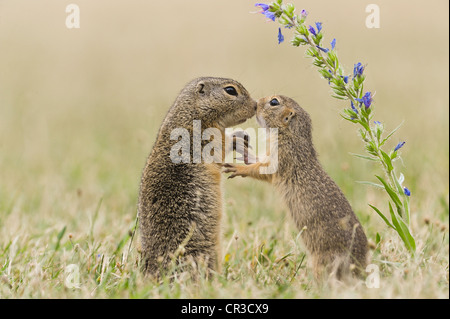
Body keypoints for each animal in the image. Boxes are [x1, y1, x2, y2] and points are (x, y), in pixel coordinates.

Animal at [137, 76, 256, 278]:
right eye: (230, 90)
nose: (256, 105)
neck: (192, 112)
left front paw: (242, 135)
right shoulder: (208, 139)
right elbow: (222, 147)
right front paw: (237, 141)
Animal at [225, 95, 370, 280]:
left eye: (274, 102)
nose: (256, 104)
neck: (290, 135)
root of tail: (360, 268)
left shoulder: (281, 156)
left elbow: (263, 170)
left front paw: (237, 168)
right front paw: (242, 150)